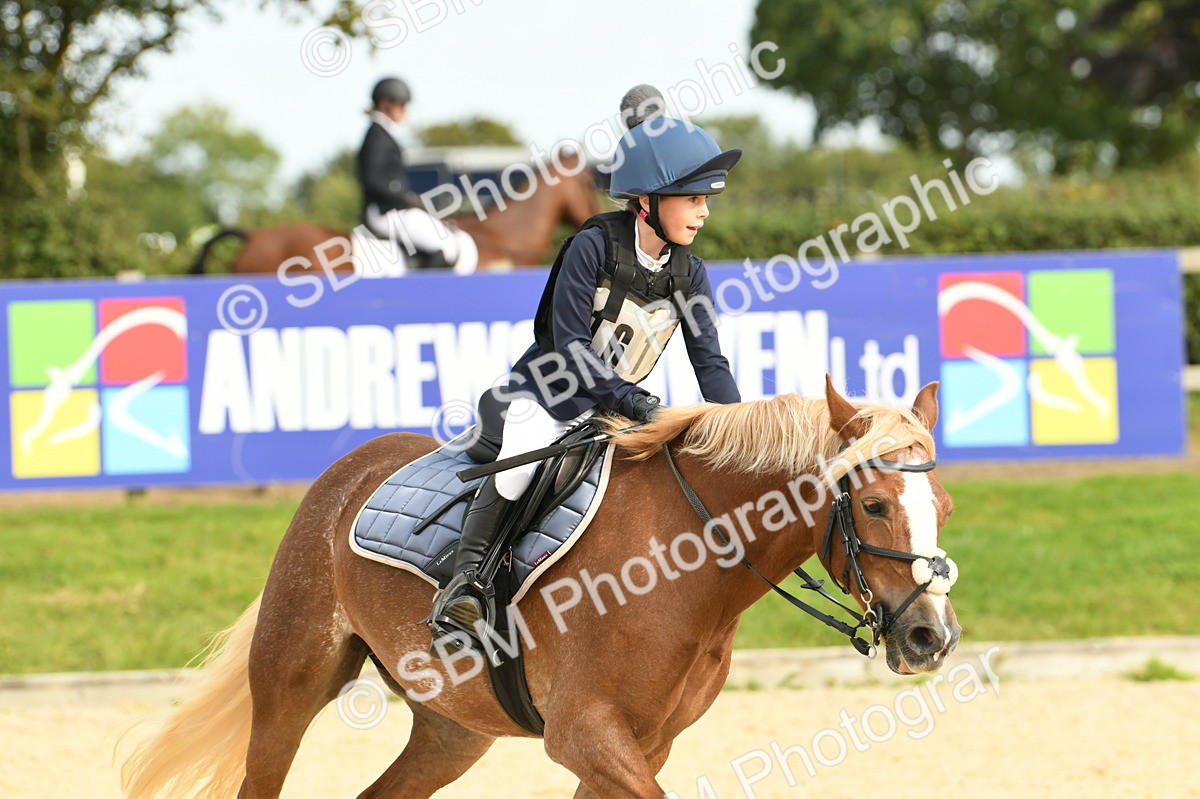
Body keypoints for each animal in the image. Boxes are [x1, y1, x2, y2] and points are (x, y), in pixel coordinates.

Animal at [121, 378, 960, 798]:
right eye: (874, 504)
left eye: (944, 506)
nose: (933, 635)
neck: (688, 565)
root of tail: (345, 471)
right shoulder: (585, 733)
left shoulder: (638, 746)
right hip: (291, 686)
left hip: (453, 729)